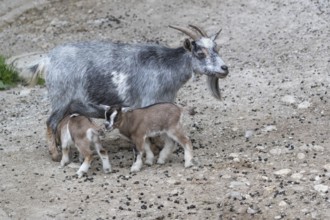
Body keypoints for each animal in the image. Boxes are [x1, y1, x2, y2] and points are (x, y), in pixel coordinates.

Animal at [32, 24, 229, 162]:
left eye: (216, 48)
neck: (166, 66)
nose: (224, 68)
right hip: (61, 99)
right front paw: (156, 149)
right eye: (200, 53)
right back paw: (55, 155)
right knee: (50, 123)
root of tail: (48, 60)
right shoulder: (149, 101)